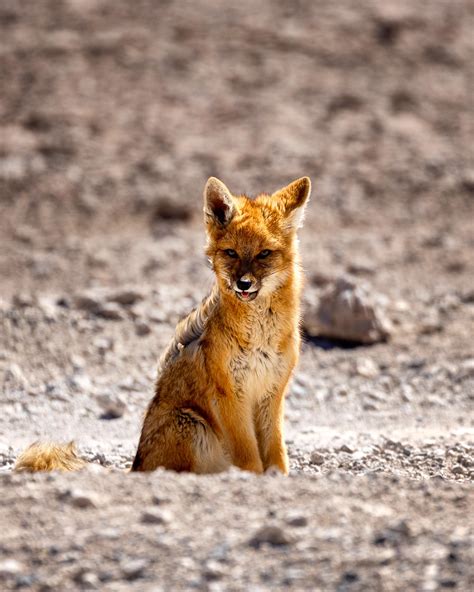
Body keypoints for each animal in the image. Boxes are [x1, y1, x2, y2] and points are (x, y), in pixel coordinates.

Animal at [15, 176, 312, 476]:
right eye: (231, 253)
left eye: (264, 254)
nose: (243, 284)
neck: (259, 337)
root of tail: (135, 467)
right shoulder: (231, 395)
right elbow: (250, 457)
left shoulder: (272, 394)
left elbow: (277, 451)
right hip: (192, 424)